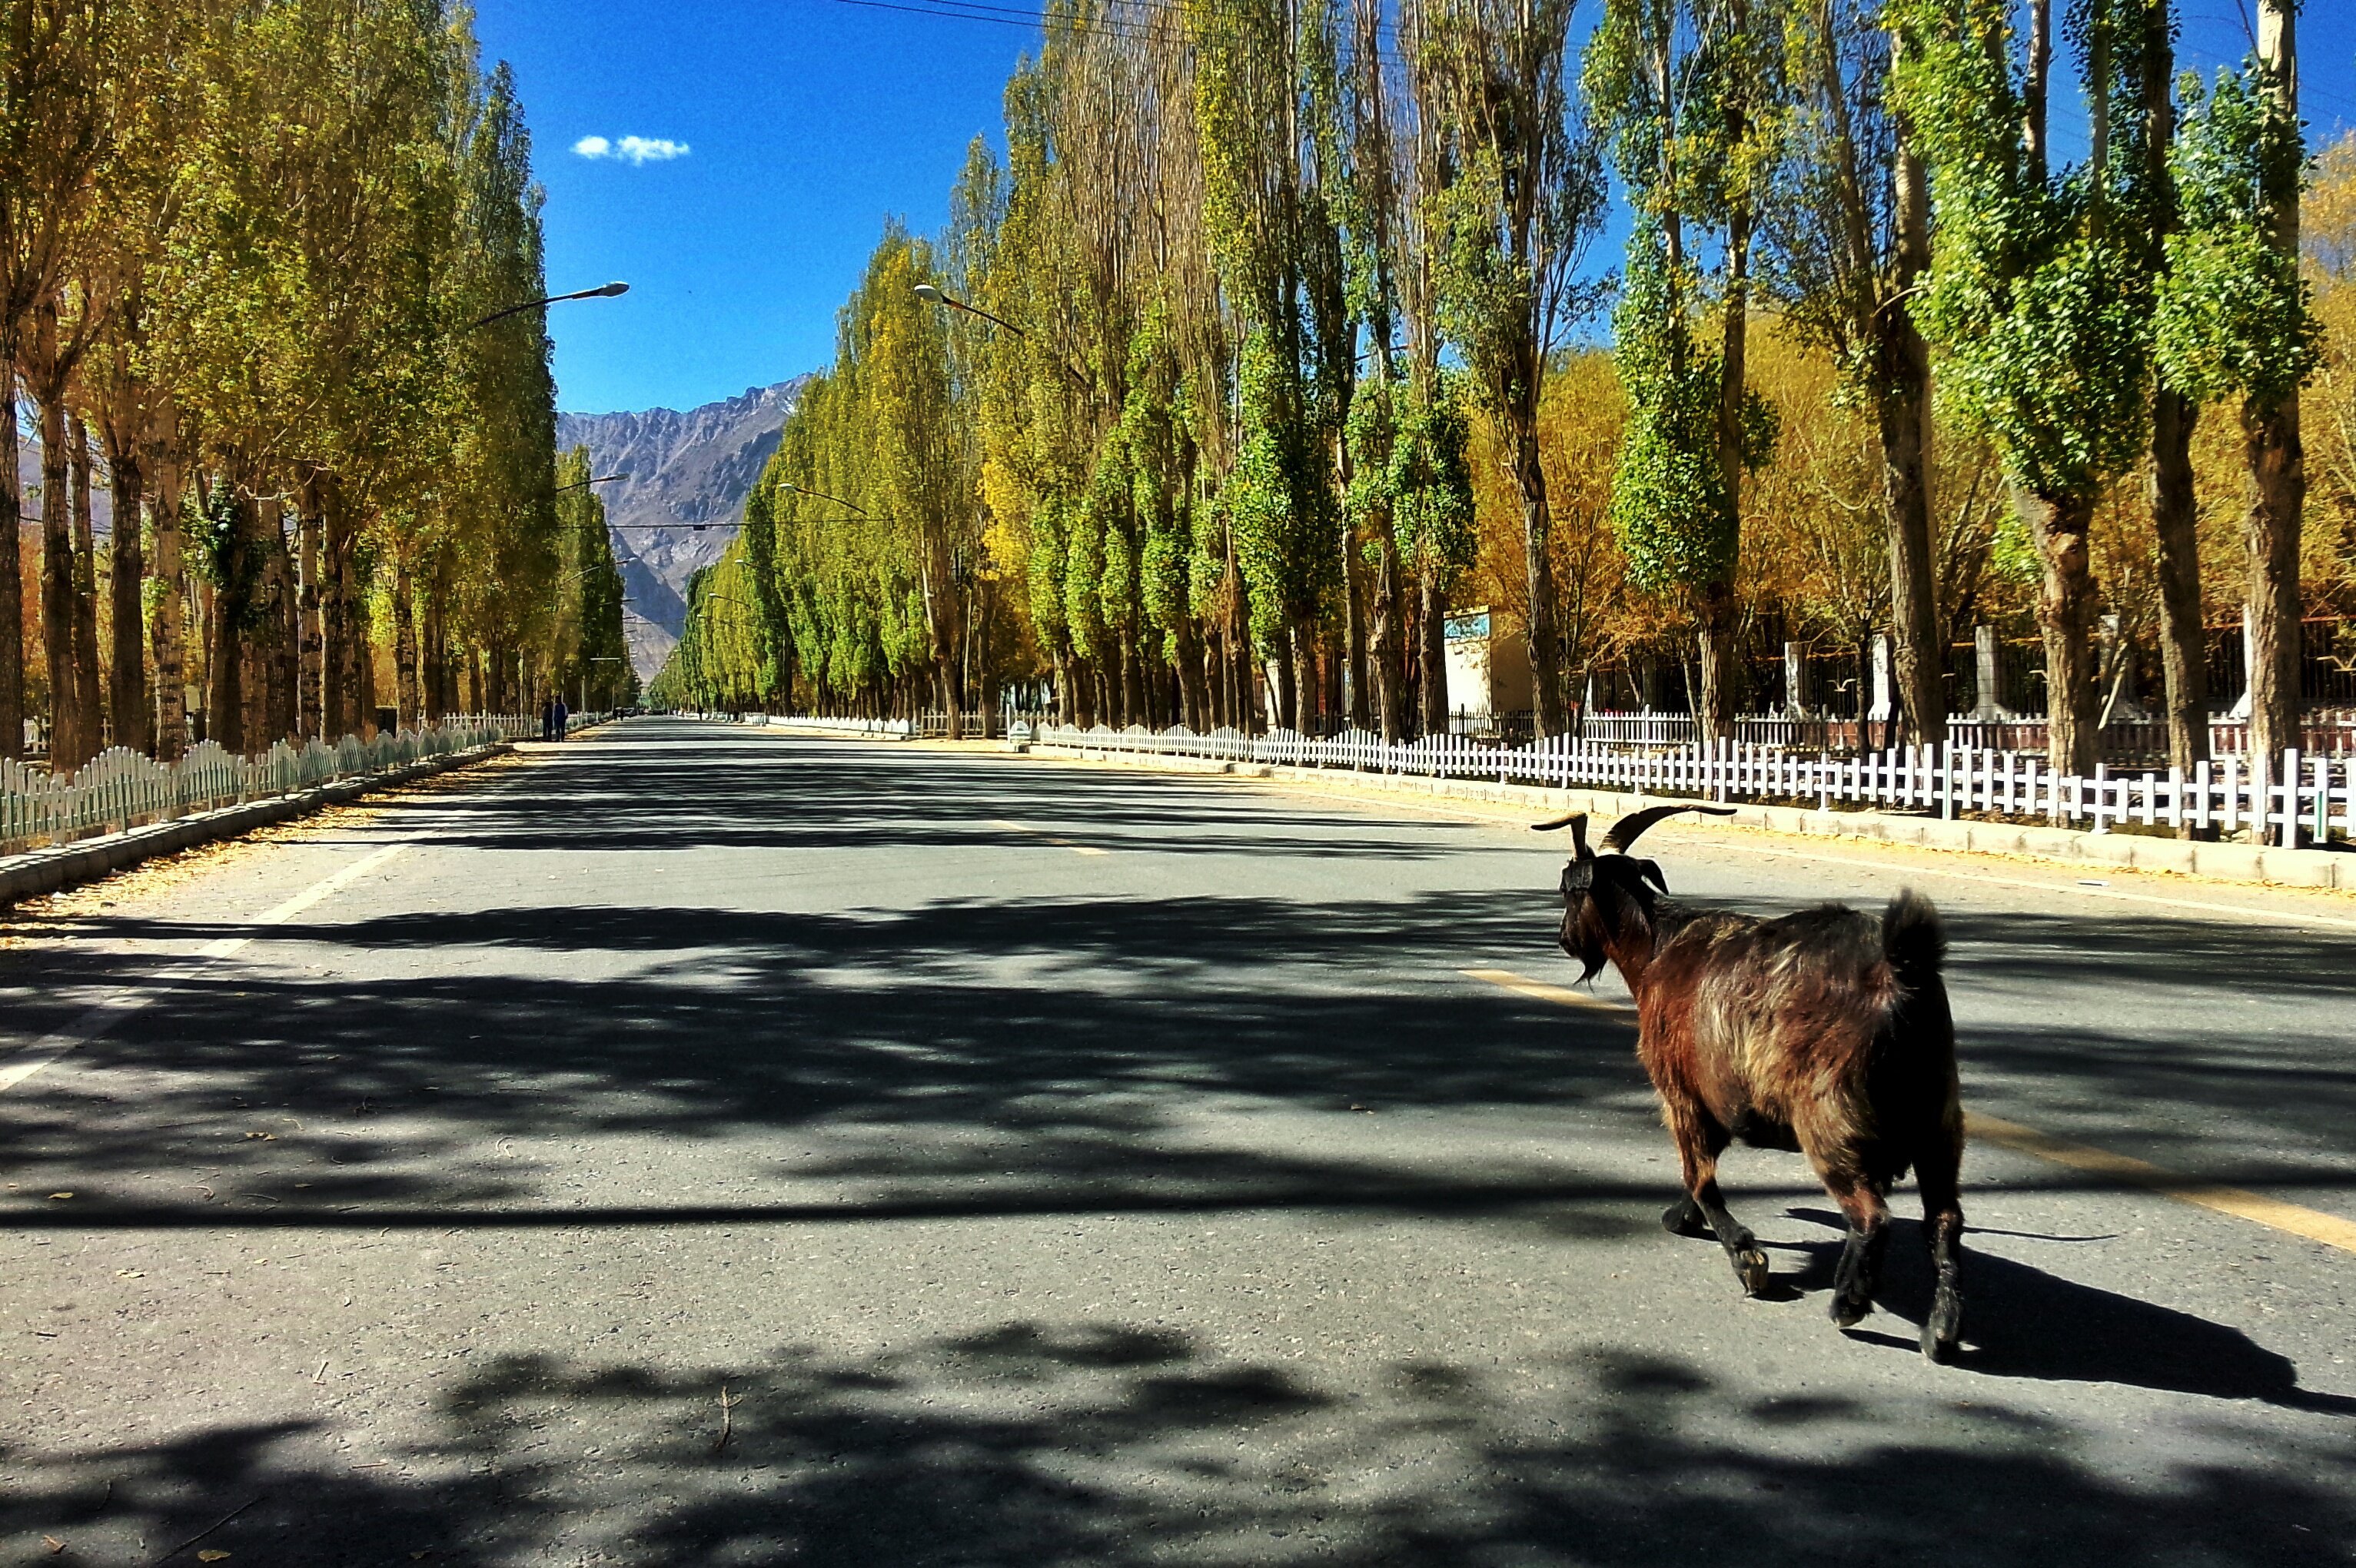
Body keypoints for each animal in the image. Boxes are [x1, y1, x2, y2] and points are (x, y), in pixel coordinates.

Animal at [1545, 800, 1969, 1347]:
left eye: (1565, 889)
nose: (1563, 939)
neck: (1657, 949)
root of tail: (1902, 977)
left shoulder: (1680, 1092)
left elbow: (1699, 1175)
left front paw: (1746, 1257)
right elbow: (1698, 1175)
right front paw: (1682, 1218)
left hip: (1833, 1121)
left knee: (1872, 1215)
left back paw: (1848, 1304)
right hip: (1938, 1120)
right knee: (1944, 1219)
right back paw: (1941, 1328)